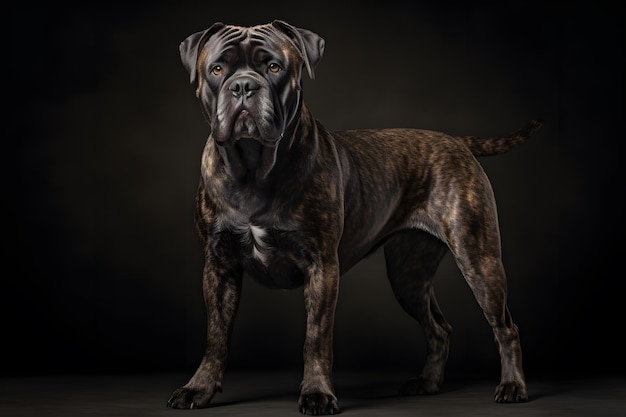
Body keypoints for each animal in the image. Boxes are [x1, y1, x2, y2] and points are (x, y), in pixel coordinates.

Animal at [167, 21, 540, 414]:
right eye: (217, 69)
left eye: (274, 67)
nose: (243, 85)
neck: (253, 169)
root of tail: (456, 142)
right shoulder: (219, 267)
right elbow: (215, 336)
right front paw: (199, 388)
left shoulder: (321, 268)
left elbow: (315, 338)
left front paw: (317, 394)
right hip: (408, 274)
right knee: (439, 328)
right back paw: (427, 383)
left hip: (478, 259)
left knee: (505, 327)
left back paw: (513, 386)